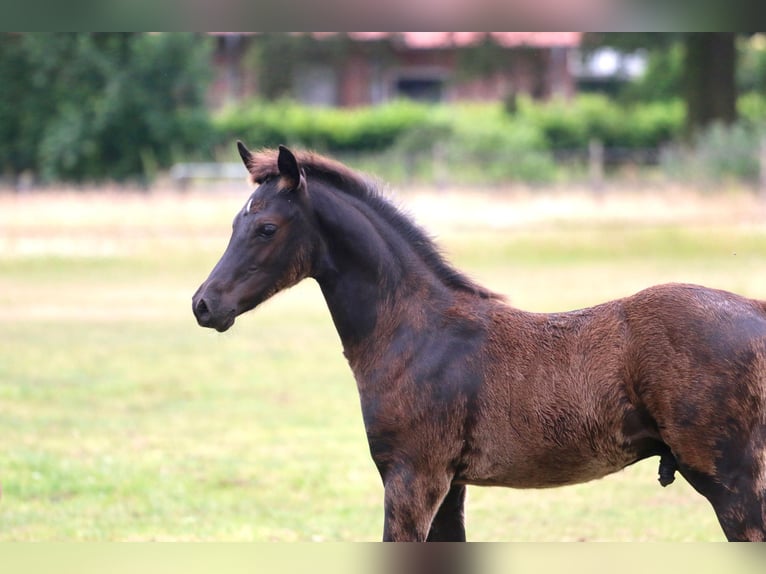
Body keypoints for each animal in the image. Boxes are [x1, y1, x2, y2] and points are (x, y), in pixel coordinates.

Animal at [192, 142, 766, 542]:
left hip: (732, 480)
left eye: (266, 228)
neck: (415, 334)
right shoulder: (450, 485)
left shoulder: (412, 477)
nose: (204, 304)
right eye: (236, 221)